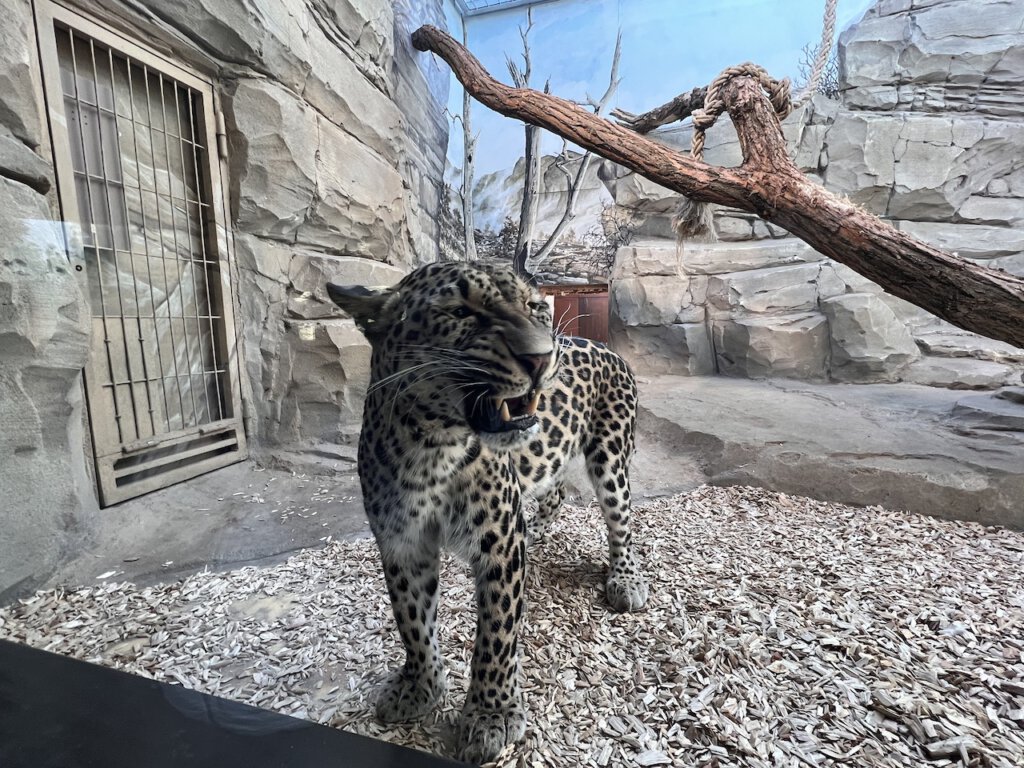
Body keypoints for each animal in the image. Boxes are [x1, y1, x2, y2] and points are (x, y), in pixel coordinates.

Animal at [327, 261, 648, 763]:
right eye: (461, 312)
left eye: (535, 306)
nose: (541, 359)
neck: (431, 448)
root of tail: (604, 346)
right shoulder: (401, 541)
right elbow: (412, 621)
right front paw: (420, 687)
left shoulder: (500, 540)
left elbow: (497, 632)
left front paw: (490, 715)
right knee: (556, 490)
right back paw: (539, 527)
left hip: (611, 458)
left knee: (622, 523)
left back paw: (625, 579)